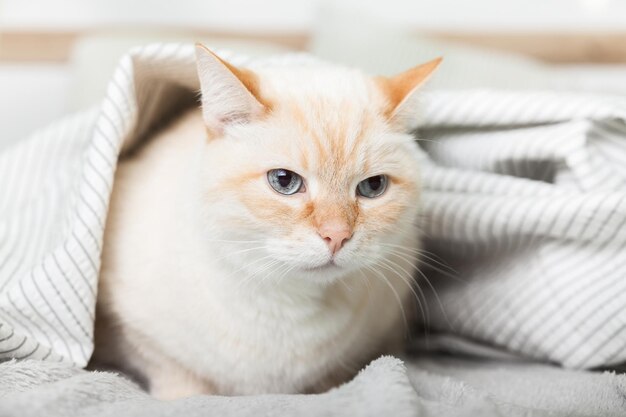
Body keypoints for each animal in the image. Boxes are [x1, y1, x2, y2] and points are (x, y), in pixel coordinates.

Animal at [92, 44, 438, 398]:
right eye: (284, 181)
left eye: (373, 187)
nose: (337, 236)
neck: (287, 308)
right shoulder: (141, 337)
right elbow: (182, 382)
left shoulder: (382, 331)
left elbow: (334, 379)